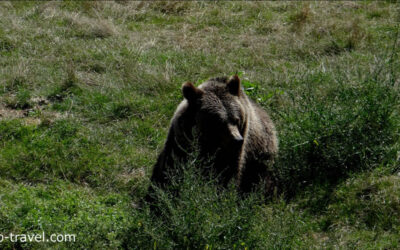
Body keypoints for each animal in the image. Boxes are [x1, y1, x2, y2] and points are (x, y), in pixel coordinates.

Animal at [146, 74, 278, 201]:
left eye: (236, 119)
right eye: (219, 122)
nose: (237, 140)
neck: (210, 144)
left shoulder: (236, 150)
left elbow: (228, 172)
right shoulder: (181, 140)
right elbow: (171, 167)